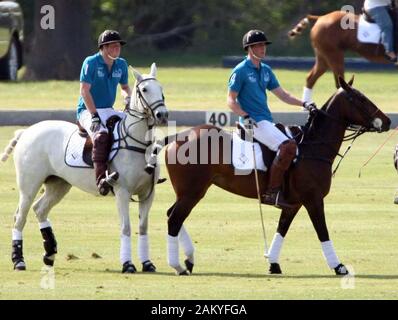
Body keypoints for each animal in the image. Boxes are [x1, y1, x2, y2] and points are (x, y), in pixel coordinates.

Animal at [0, 63, 168, 274]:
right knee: (19, 217)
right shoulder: (122, 191)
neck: (138, 143)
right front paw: (128, 264)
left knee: (40, 209)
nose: (163, 115)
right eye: (144, 89)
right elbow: (126, 227)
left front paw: (147, 263)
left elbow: (143, 227)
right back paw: (18, 260)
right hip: (28, 185)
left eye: (161, 88)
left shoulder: (147, 193)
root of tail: (26, 131)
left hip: (59, 184)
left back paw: (49, 254)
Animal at [162, 77, 392, 276]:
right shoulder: (313, 199)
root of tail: (175, 137)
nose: (388, 121)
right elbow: (322, 231)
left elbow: (282, 229)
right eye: (360, 99)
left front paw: (273, 263)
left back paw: (188, 260)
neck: (313, 146)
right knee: (174, 219)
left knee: (172, 215)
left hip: (188, 192)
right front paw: (339, 266)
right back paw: (178, 265)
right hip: (193, 191)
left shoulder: (293, 203)